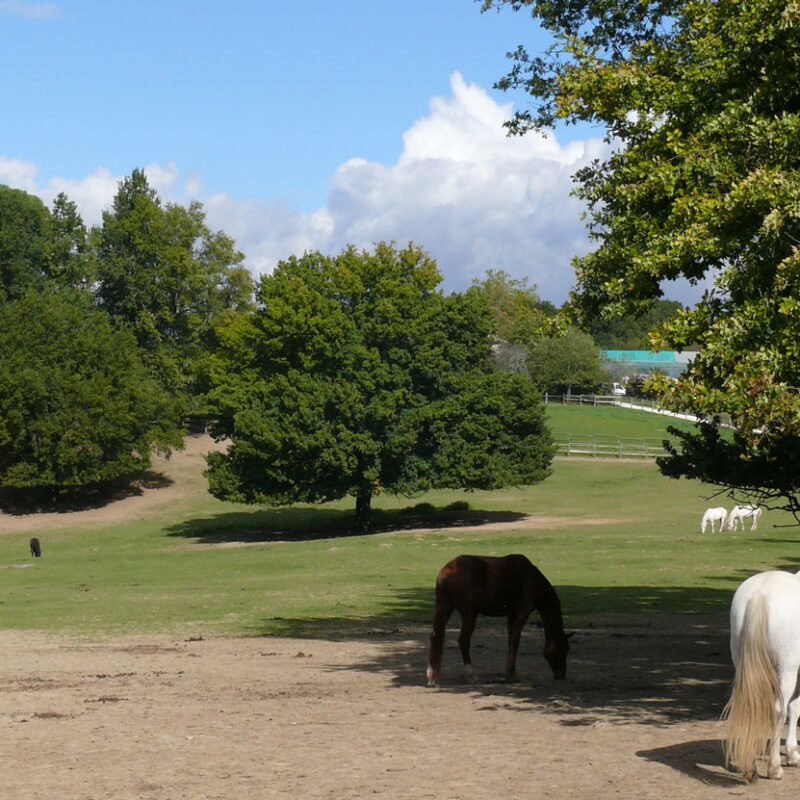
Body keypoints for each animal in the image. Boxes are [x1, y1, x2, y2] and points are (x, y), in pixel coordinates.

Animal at [424, 556, 568, 688]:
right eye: (564, 649)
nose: (562, 675)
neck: (531, 578)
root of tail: (447, 570)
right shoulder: (523, 612)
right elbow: (516, 640)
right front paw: (511, 675)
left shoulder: (511, 615)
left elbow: (511, 641)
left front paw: (510, 673)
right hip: (469, 614)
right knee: (463, 641)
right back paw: (472, 675)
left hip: (445, 608)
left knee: (435, 636)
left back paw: (432, 676)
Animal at [728, 568, 800, 780]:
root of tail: (759, 594)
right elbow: (795, 709)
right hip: (786, 671)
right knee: (778, 710)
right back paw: (774, 768)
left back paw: (750, 766)